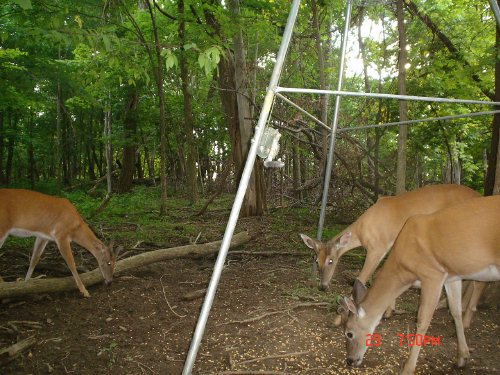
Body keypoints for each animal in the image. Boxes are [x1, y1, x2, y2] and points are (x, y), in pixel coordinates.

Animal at [300, 184, 480, 322]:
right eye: (316, 260)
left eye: (331, 260)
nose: (323, 286)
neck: (362, 231)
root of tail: (478, 194)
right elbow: (385, 273)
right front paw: (388, 311)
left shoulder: (377, 247)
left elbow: (362, 278)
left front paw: (339, 318)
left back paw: (465, 318)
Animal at [338, 195, 498, 374]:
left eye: (349, 333)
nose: (349, 360)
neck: (403, 267)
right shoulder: (451, 276)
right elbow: (455, 310)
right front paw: (462, 357)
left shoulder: (432, 274)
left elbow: (422, 320)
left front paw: (408, 367)